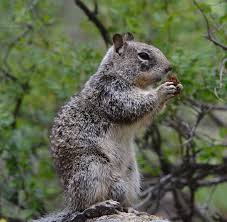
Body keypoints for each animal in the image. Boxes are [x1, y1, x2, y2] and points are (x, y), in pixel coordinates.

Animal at [35, 32, 183, 221]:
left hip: (131, 175)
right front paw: (162, 91)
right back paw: (99, 206)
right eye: (143, 55)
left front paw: (177, 87)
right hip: (93, 169)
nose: (169, 68)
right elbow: (132, 105)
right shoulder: (110, 93)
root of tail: (69, 202)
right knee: (83, 205)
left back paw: (129, 209)